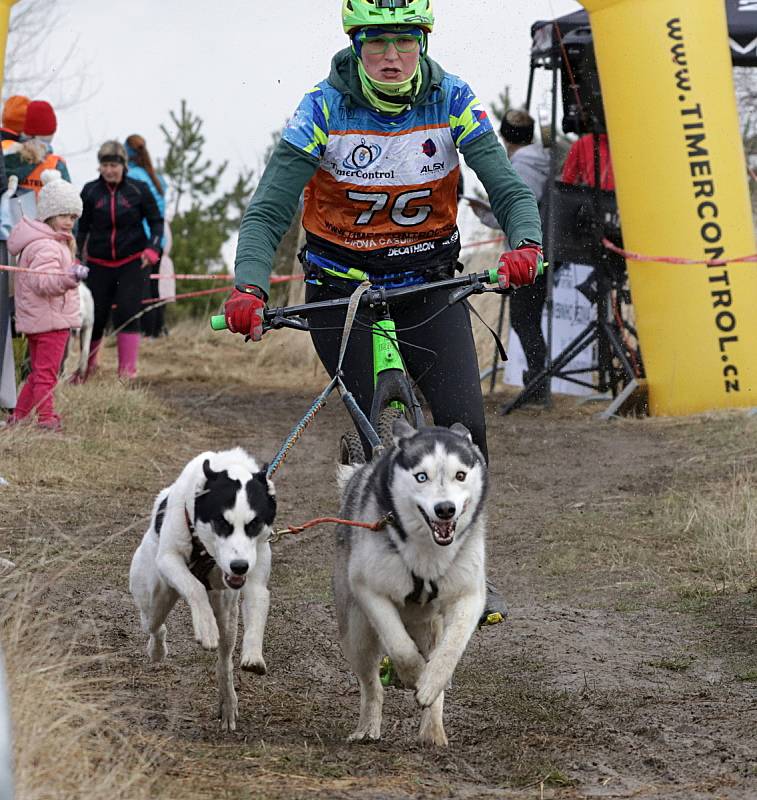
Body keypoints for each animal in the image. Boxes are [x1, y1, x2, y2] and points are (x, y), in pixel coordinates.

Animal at [131, 446, 278, 736]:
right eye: (221, 522)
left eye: (254, 524)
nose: (239, 566)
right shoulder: (169, 559)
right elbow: (195, 587)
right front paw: (205, 628)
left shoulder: (254, 579)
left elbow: (257, 608)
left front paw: (253, 655)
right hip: (154, 597)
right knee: (156, 625)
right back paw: (157, 650)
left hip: (226, 613)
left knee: (224, 661)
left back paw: (228, 701)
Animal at [334, 422, 488, 748]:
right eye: (421, 476)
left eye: (460, 475)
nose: (445, 509)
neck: (428, 555)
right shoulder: (369, 588)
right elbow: (400, 646)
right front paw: (414, 674)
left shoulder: (468, 595)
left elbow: (450, 651)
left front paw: (429, 682)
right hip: (355, 630)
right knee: (371, 684)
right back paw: (367, 727)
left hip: (431, 626)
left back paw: (433, 731)